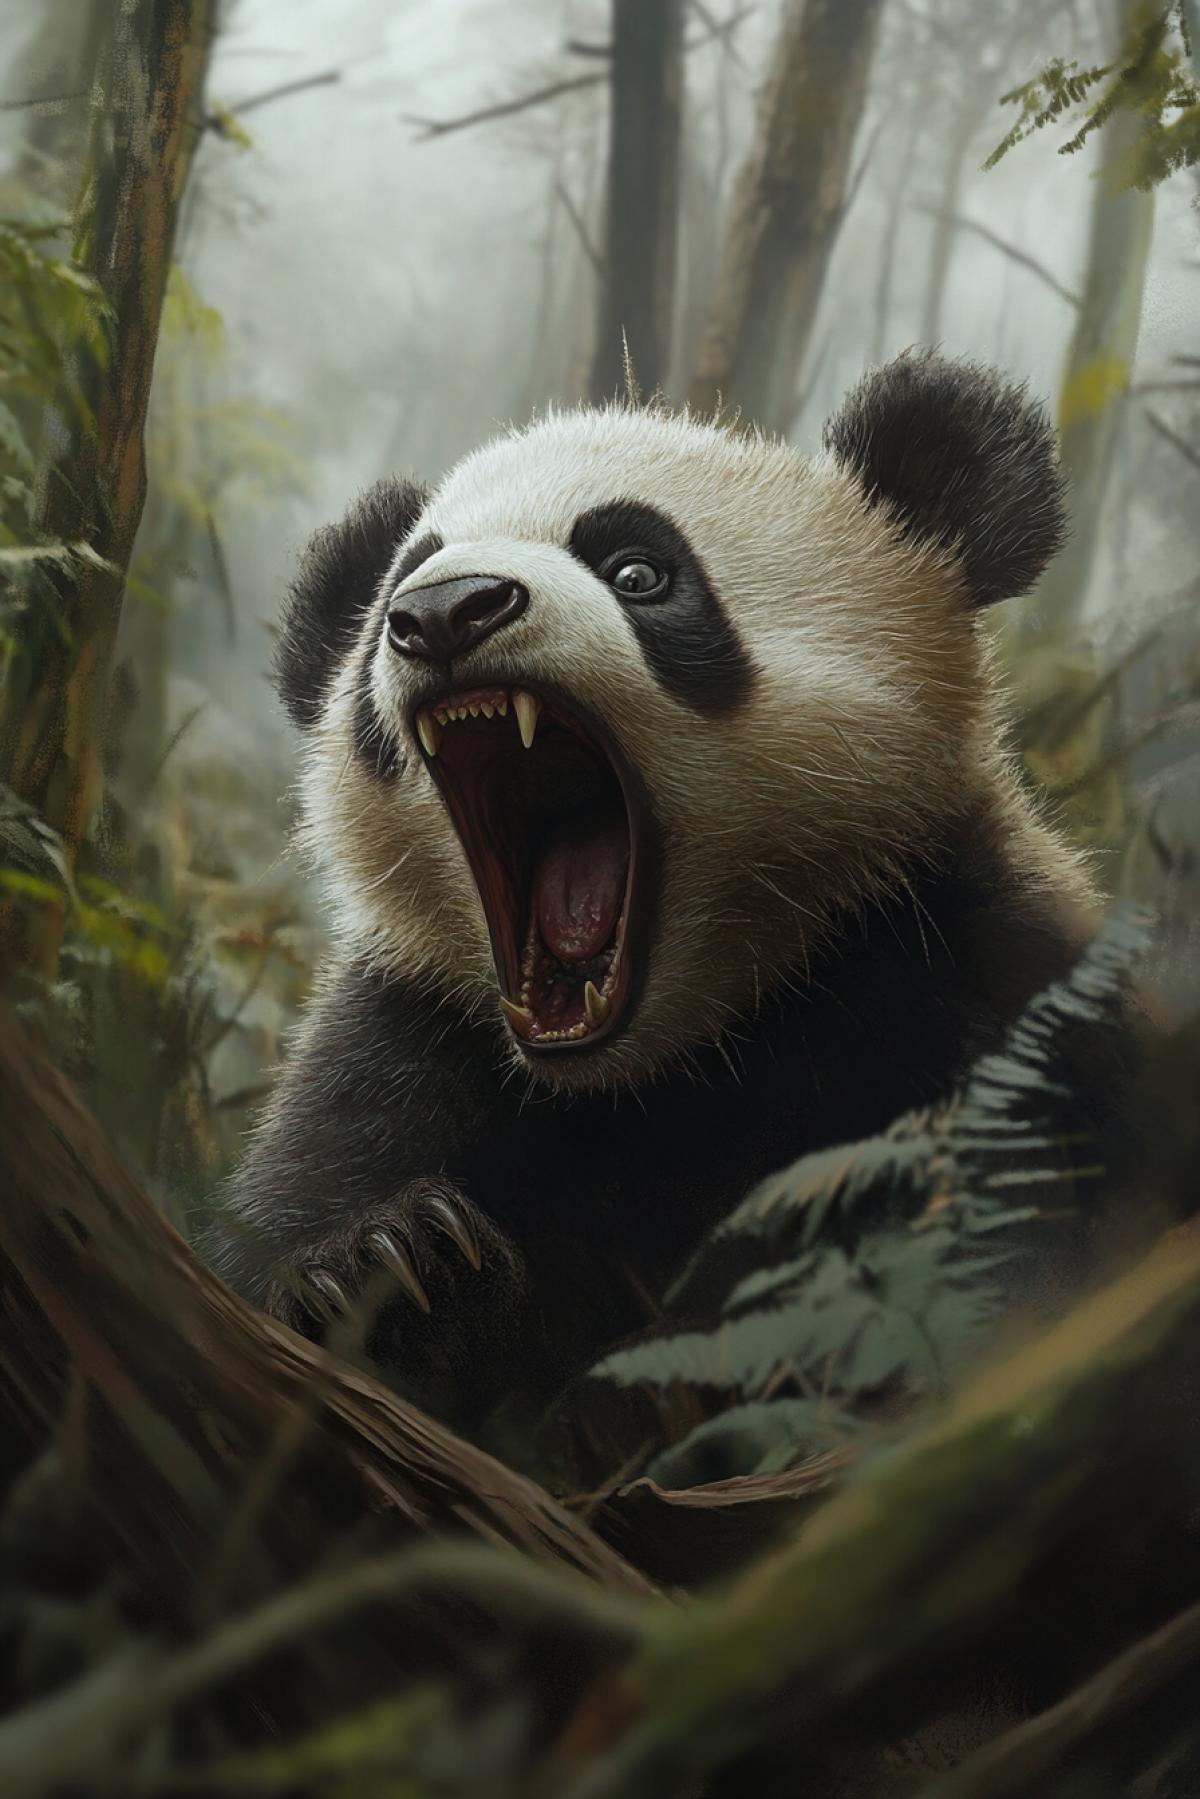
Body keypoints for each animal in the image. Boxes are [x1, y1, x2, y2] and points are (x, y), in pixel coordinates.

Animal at [208, 350, 1107, 1432]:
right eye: (411, 565)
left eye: (638, 570)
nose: (442, 609)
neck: (661, 1064)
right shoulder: (408, 1029)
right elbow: (303, 1207)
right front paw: (395, 1273)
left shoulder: (969, 961)